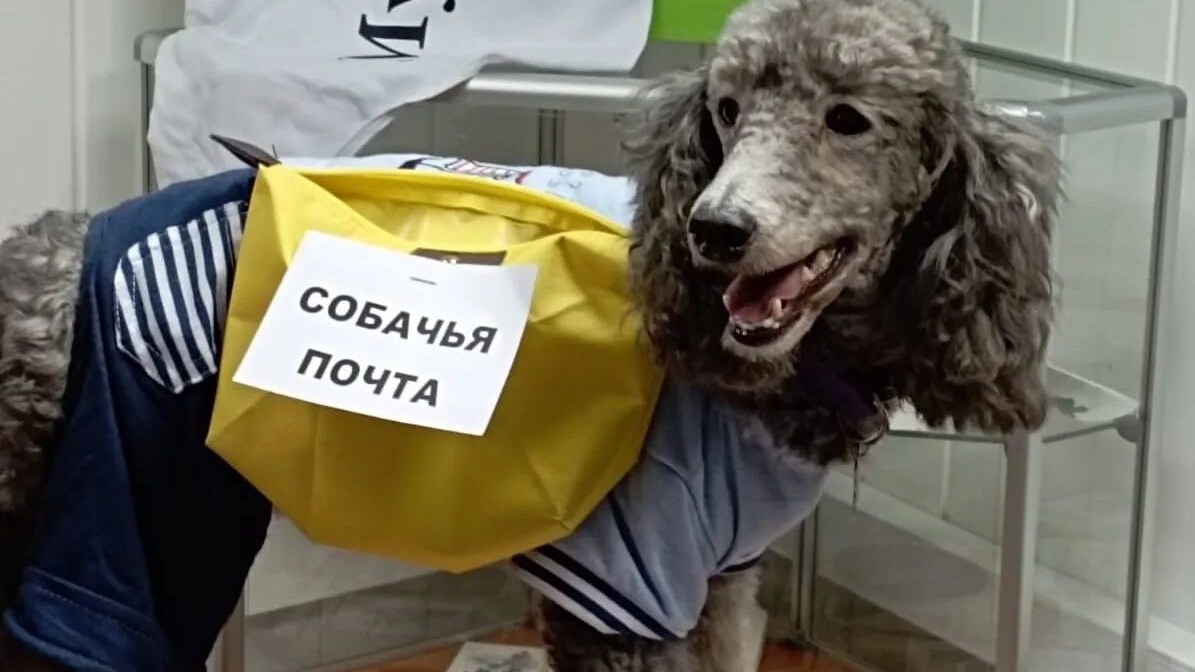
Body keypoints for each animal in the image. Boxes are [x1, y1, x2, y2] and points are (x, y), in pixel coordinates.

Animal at [0, 0, 1058, 669]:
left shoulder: (725, 584)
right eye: (725, 110)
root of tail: (49, 247)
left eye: (848, 120)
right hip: (122, 515)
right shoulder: (626, 586)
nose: (714, 231)